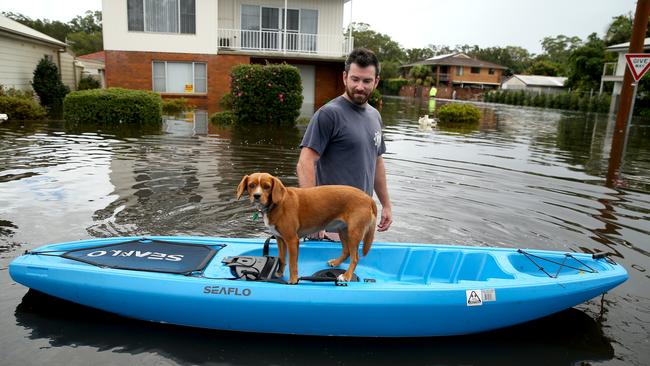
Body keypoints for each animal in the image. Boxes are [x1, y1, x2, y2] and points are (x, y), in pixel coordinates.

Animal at [234, 173, 374, 284]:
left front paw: (293, 280)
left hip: (354, 233)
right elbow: (282, 258)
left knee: (355, 258)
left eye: (267, 186)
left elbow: (292, 264)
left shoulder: (292, 240)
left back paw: (346, 276)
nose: (257, 195)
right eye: (251, 185)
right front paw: (279, 273)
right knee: (346, 251)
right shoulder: (280, 239)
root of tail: (369, 199)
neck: (276, 204)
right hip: (342, 230)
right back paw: (336, 262)